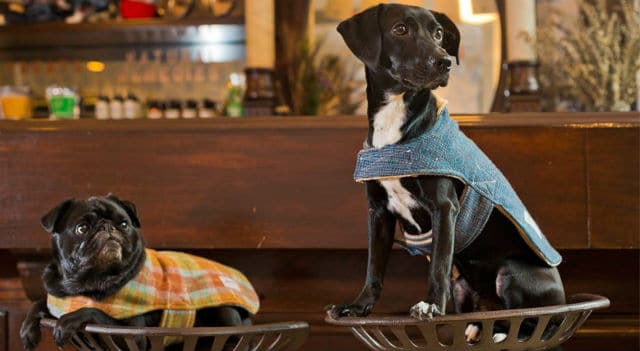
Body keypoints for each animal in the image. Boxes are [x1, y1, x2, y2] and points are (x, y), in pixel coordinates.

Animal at [328, 3, 564, 344]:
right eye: (400, 29)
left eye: (438, 33)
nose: (445, 62)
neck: (396, 121)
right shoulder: (378, 213)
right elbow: (373, 268)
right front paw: (359, 307)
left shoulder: (443, 208)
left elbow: (437, 265)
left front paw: (430, 307)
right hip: (462, 284)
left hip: (510, 275)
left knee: (536, 323)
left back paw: (503, 334)